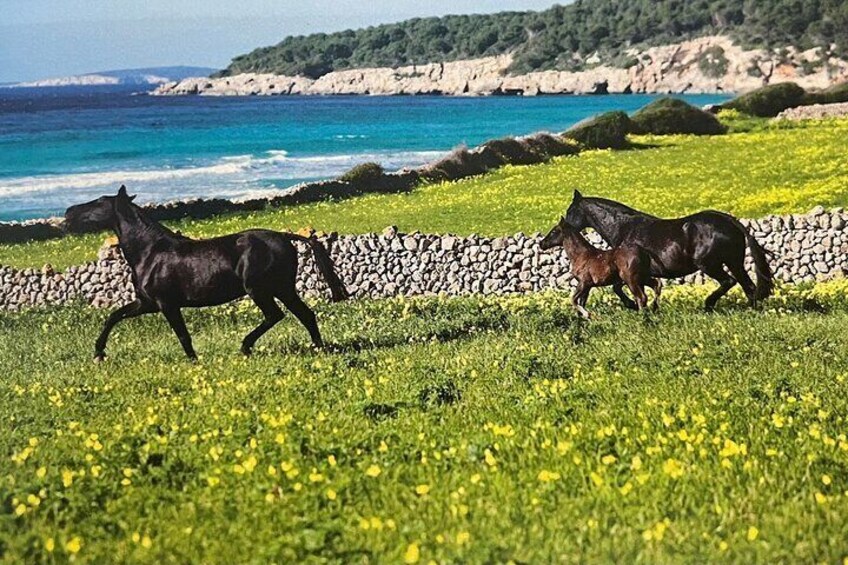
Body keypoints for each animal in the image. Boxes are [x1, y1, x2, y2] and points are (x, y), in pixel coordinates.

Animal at [62, 186, 348, 362]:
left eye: (99, 202)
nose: (67, 212)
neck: (150, 251)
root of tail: (284, 237)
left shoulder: (167, 304)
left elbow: (182, 334)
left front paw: (193, 360)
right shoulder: (147, 303)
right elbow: (114, 316)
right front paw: (99, 353)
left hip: (260, 290)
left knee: (275, 315)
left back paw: (245, 346)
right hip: (283, 288)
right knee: (305, 315)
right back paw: (318, 348)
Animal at [564, 192, 776, 310]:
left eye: (569, 211)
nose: (562, 228)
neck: (624, 228)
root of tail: (730, 221)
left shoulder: (632, 274)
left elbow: (619, 289)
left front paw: (633, 305)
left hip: (709, 265)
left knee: (729, 281)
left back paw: (708, 305)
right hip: (734, 262)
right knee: (748, 286)